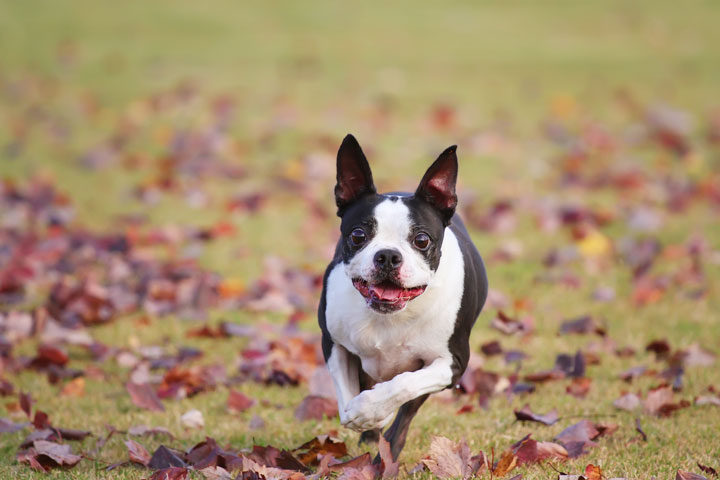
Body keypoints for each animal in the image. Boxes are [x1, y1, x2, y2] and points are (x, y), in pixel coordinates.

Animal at [316, 135, 490, 462]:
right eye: (358, 235)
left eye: (421, 240)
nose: (387, 255)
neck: (392, 315)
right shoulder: (333, 343)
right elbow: (346, 395)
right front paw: (362, 413)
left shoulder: (452, 363)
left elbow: (404, 385)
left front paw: (370, 409)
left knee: (403, 417)